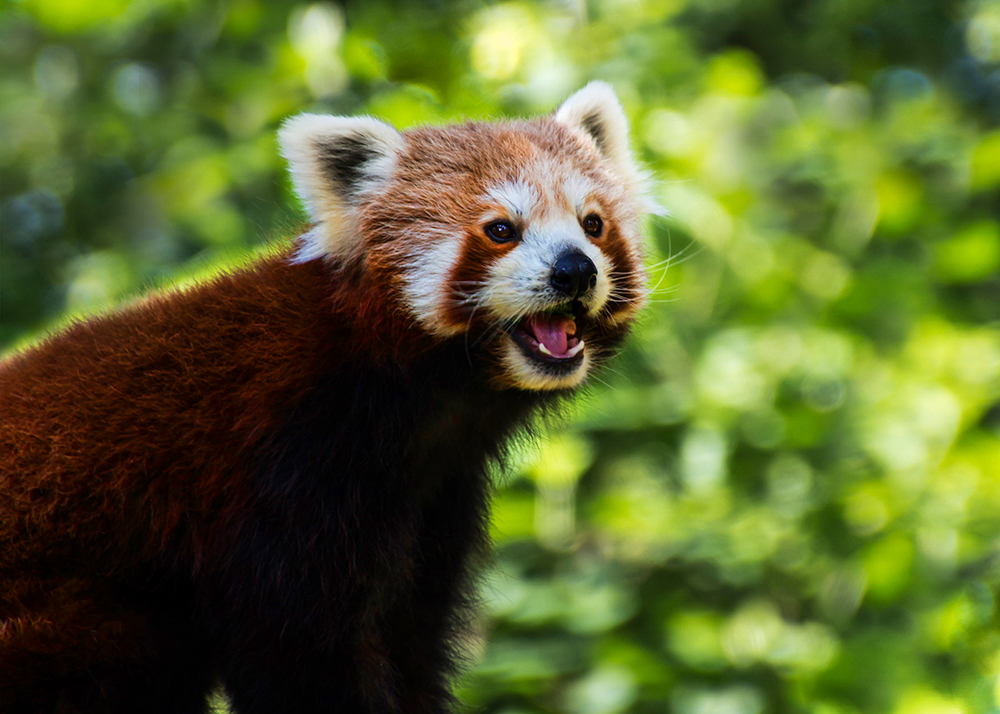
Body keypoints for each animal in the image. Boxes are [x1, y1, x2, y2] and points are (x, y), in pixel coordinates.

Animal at [0, 85, 652, 712]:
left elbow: (411, 638)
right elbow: (297, 650)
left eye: (592, 224)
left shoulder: (436, 500)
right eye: (500, 230)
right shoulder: (283, 469)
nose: (575, 271)